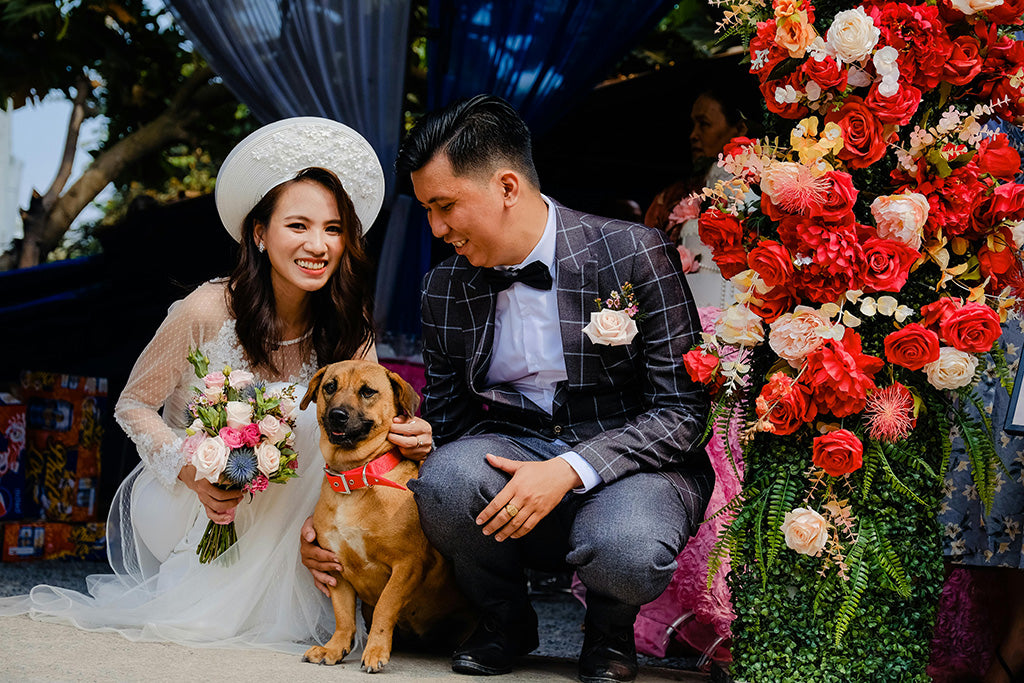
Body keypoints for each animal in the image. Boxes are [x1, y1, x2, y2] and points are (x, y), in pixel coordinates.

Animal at [296, 360, 471, 671]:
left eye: (368, 392)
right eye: (330, 387)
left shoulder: (407, 565)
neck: (355, 479)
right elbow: (343, 616)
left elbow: (385, 607)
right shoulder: (335, 568)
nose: (337, 415)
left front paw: (376, 650)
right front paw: (335, 648)